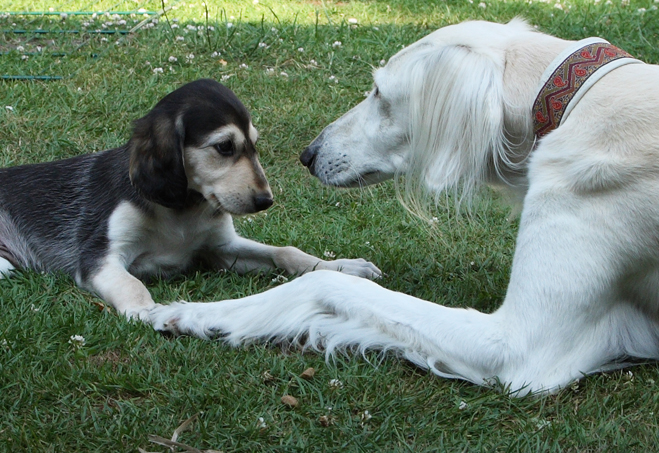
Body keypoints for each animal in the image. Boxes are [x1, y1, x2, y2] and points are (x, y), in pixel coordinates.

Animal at [0, 78, 382, 318]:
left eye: (254, 146)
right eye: (224, 147)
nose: (265, 201)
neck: (180, 211)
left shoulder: (220, 249)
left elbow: (286, 253)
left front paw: (342, 267)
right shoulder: (99, 257)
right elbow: (132, 285)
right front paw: (148, 312)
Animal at [152, 19, 659, 394]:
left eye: (379, 93)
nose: (308, 155)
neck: (579, 98)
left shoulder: (520, 346)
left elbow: (326, 283)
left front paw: (192, 313)